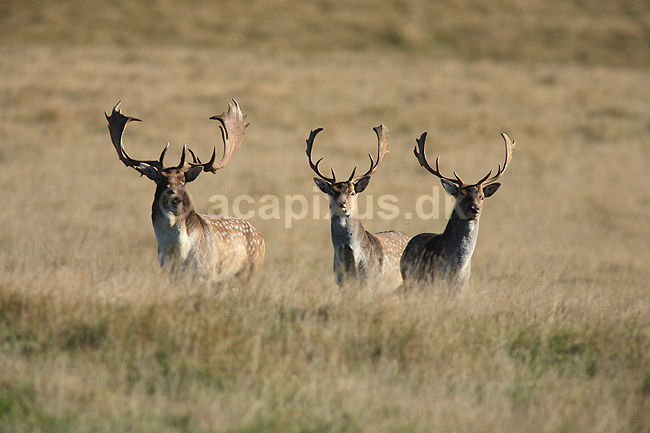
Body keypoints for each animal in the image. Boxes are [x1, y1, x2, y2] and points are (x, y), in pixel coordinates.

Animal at [105, 100, 265, 283]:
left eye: (183, 180)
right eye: (160, 179)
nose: (174, 197)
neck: (179, 255)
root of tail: (262, 237)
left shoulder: (206, 274)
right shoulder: (171, 276)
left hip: (250, 271)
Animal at [400, 132, 515, 291]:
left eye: (482, 196)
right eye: (461, 194)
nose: (474, 208)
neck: (455, 271)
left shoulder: (462, 288)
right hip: (410, 280)